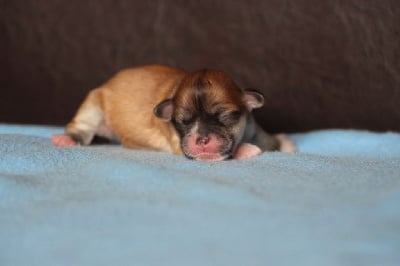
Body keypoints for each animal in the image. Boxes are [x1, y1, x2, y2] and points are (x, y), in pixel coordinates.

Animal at [52, 65, 296, 160]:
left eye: (224, 116)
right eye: (183, 122)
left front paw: (285, 143)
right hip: (93, 103)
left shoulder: (254, 128)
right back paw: (67, 139)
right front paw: (246, 149)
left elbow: (269, 140)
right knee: (82, 127)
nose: (201, 140)